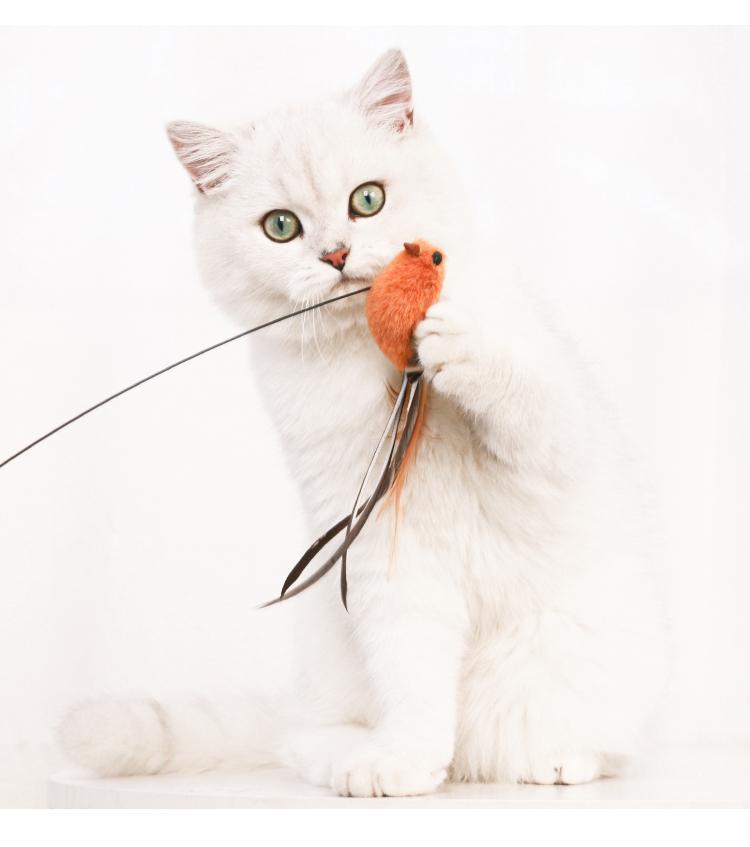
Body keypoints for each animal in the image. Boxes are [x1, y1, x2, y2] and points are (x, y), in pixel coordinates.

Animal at [61, 49, 668, 800]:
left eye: (367, 200)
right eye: (281, 227)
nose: (336, 254)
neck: (377, 352)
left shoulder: (551, 449)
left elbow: (523, 395)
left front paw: (454, 343)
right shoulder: (381, 553)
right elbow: (412, 677)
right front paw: (404, 763)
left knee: (582, 744)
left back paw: (559, 758)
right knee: (300, 737)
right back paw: (356, 759)